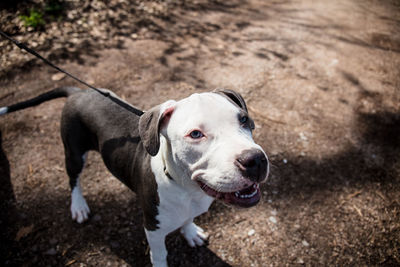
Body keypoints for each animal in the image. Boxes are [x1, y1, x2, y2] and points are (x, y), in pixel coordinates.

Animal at [0, 87, 268, 266]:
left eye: (244, 120)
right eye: (195, 134)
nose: (255, 160)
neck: (186, 188)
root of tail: (79, 90)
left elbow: (188, 219)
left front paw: (191, 232)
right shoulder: (153, 228)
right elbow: (159, 255)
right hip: (74, 152)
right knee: (73, 180)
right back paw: (78, 206)